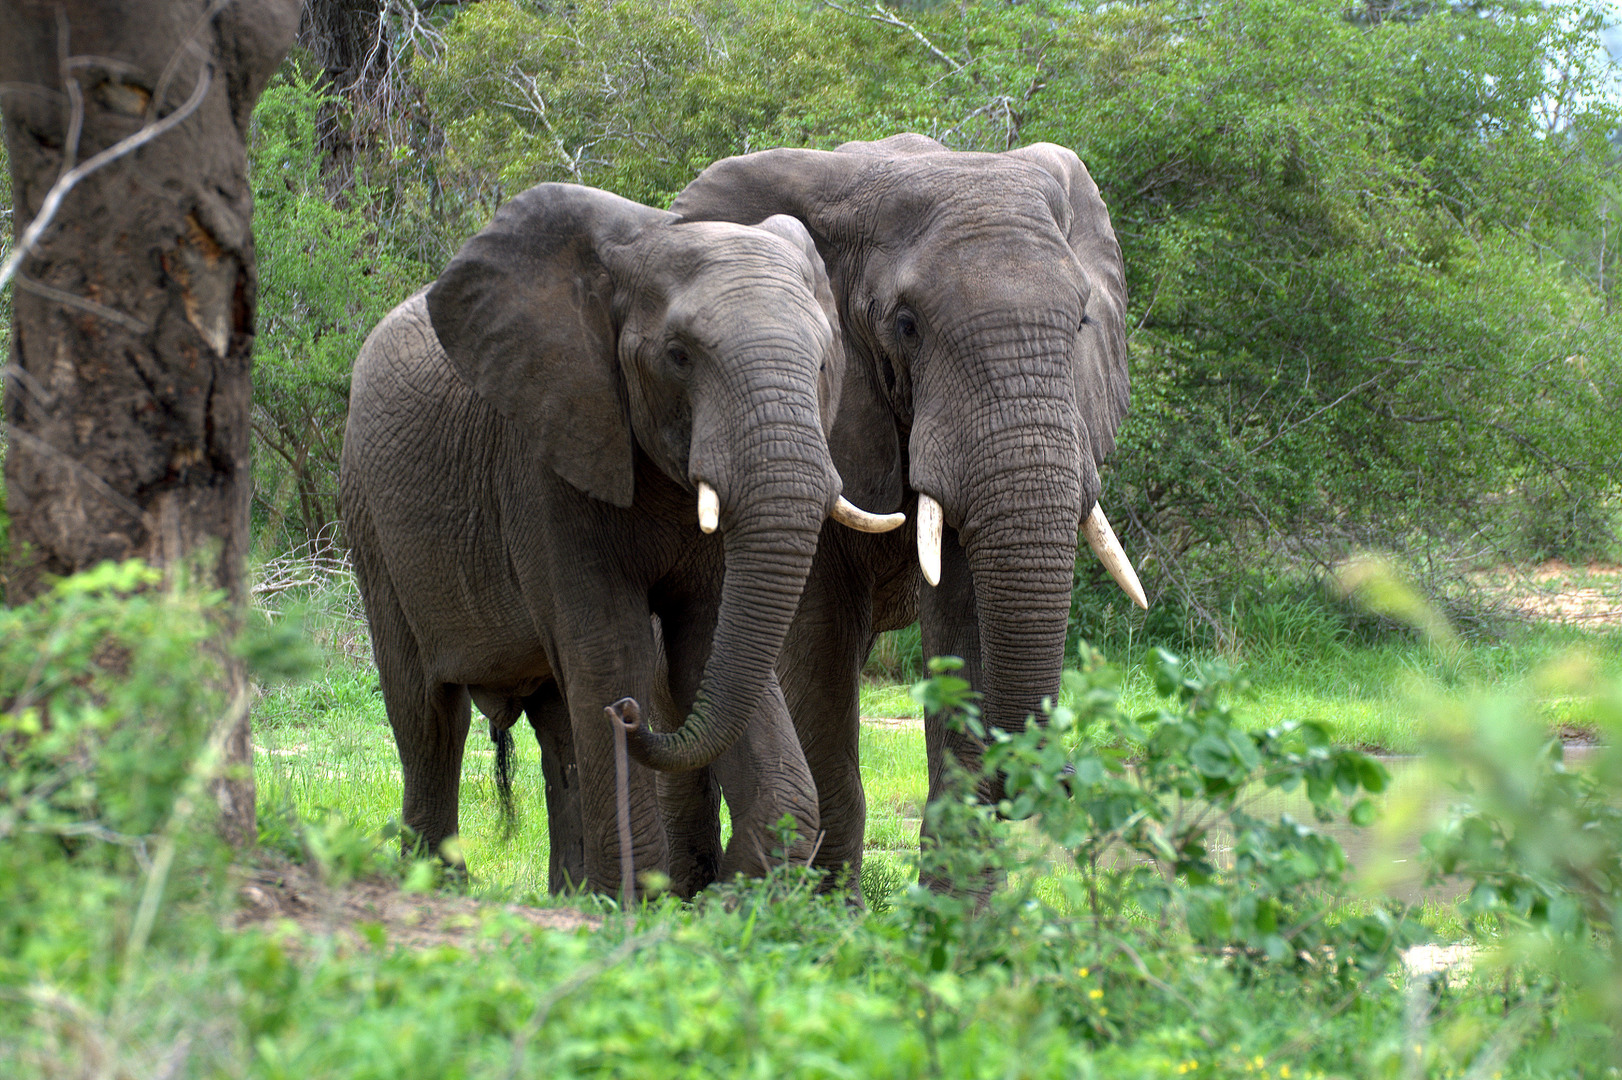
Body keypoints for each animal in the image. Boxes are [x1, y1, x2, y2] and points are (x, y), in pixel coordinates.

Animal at [335, 180, 908, 895]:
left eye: (826, 362)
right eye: (678, 356)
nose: (632, 714)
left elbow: (708, 646)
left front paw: (724, 899)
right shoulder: (545, 458)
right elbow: (609, 648)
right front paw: (637, 905)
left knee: (556, 725)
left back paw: (571, 895)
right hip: (370, 517)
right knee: (429, 718)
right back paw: (440, 888)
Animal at [626, 134, 1148, 888]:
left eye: (1081, 321)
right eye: (906, 326)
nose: (1066, 775)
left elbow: (964, 620)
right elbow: (815, 646)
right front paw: (828, 913)